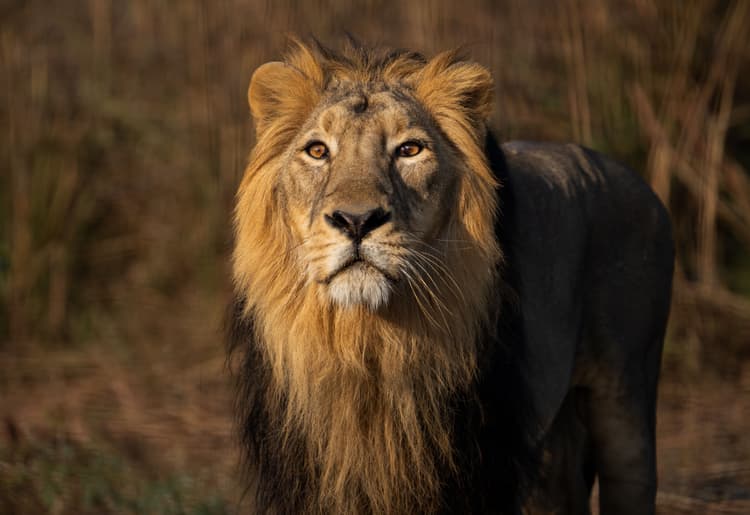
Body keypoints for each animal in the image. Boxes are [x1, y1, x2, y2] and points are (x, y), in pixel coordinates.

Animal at [228, 40, 674, 515]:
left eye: (409, 150)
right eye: (317, 151)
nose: (356, 220)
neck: (366, 342)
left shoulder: (476, 465)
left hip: (627, 397)